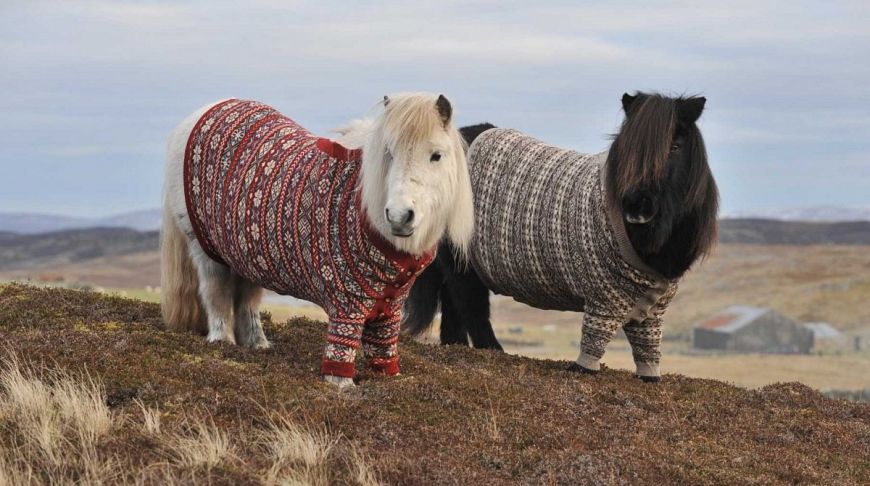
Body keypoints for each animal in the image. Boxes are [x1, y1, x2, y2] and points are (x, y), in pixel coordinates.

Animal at [164, 92, 476, 388]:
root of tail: (202, 113)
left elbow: (384, 349)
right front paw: (342, 385)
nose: (399, 216)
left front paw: (391, 379)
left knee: (247, 300)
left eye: (436, 155)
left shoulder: (391, 305)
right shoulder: (347, 302)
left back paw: (258, 345)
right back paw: (222, 343)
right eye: (388, 152)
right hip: (206, 251)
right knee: (215, 293)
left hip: (246, 254)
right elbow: (342, 349)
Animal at [406, 92, 720, 354]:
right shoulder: (602, 297)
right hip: (463, 261)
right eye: (627, 147)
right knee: (470, 305)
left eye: (676, 146)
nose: (636, 205)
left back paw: (457, 345)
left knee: (454, 304)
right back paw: (493, 350)